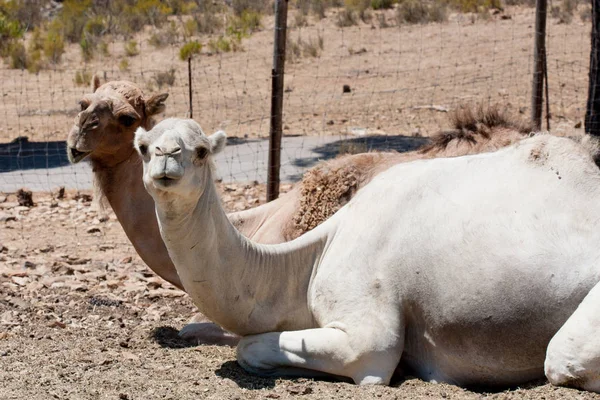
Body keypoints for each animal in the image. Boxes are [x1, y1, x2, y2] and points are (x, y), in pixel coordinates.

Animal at [136, 117, 600, 392]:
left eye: (200, 150)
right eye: (145, 146)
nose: (166, 158)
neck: (309, 261)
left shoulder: (368, 336)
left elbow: (252, 349)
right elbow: (249, 346)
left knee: (563, 360)